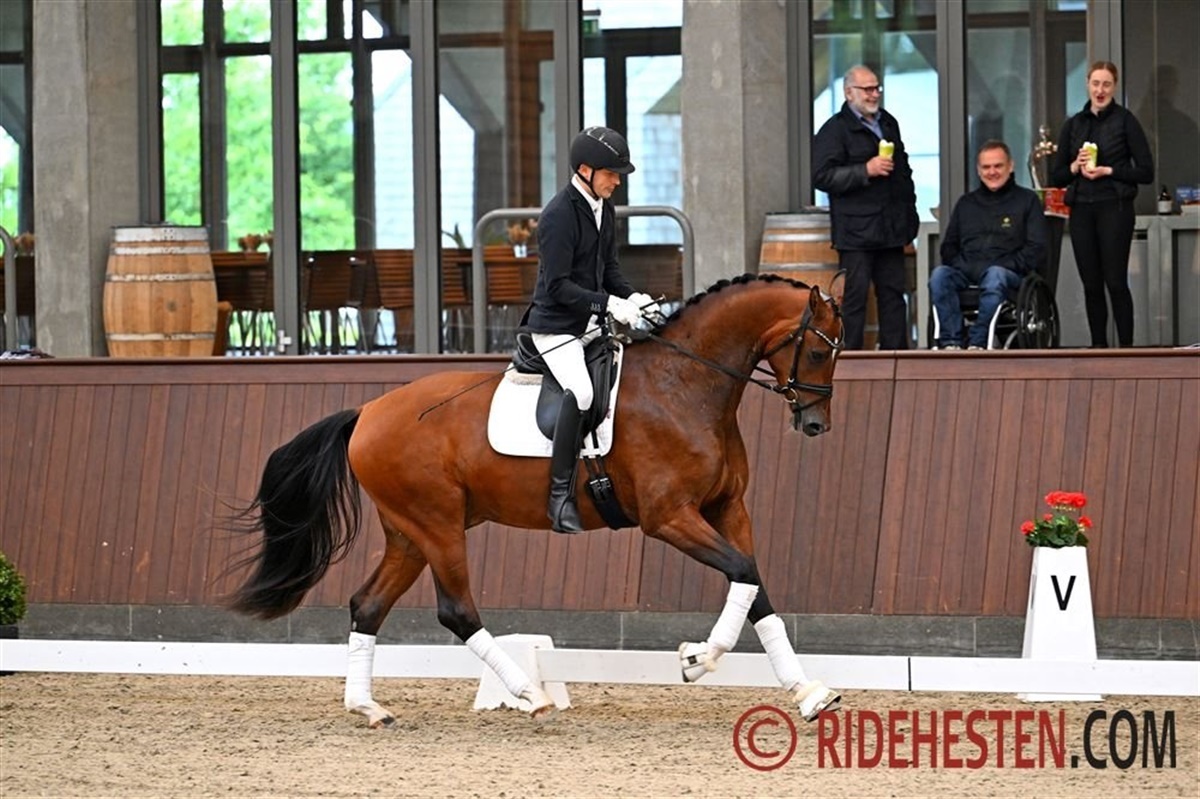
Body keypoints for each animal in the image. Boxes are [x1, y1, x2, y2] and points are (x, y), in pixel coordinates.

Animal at [226, 273, 845, 727]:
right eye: (817, 351)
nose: (815, 424)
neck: (684, 385)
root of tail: (367, 412)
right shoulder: (669, 517)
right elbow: (741, 571)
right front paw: (698, 659)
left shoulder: (726, 509)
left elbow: (755, 586)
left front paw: (809, 693)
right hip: (437, 526)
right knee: (456, 611)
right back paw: (530, 693)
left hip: (409, 532)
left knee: (368, 605)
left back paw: (367, 706)